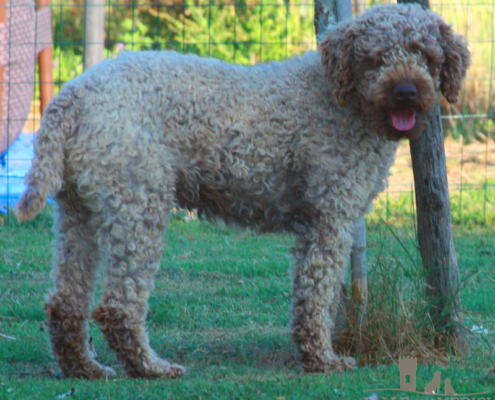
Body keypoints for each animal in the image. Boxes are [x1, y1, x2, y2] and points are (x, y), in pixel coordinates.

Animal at [15, 3, 470, 378]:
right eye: (375, 59)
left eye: (428, 57)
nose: (406, 92)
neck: (341, 99)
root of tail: (73, 94)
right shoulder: (330, 217)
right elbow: (318, 294)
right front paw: (322, 359)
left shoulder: (316, 223)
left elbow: (308, 294)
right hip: (138, 207)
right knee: (118, 307)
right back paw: (150, 367)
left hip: (80, 212)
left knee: (65, 303)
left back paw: (85, 368)